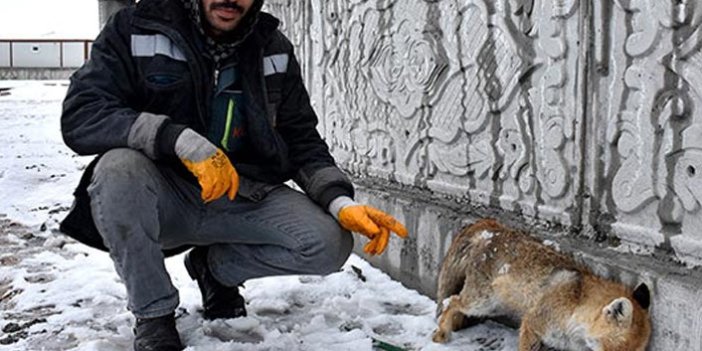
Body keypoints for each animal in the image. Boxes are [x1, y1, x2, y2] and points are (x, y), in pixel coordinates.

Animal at [432, 220, 656, 351]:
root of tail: (491, 228)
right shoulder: (532, 323)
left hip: (492, 306)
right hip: (481, 303)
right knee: (450, 301)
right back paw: (442, 333)